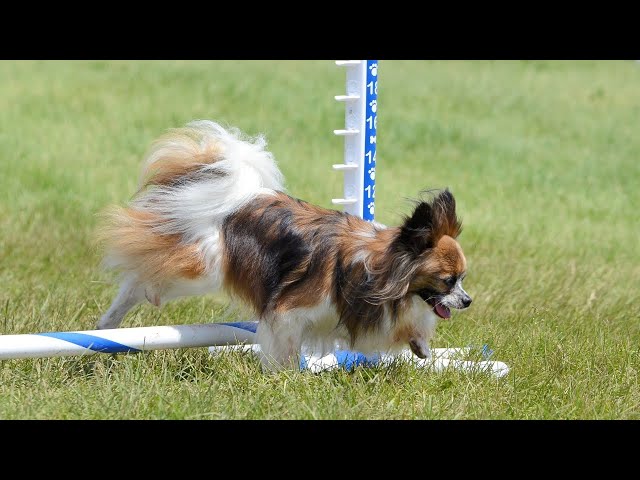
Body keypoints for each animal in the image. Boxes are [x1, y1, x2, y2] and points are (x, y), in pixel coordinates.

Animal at [97, 121, 472, 372]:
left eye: (464, 279)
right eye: (447, 280)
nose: (468, 301)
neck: (377, 266)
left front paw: (421, 345)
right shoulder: (288, 311)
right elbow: (285, 349)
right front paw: (284, 377)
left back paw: (106, 327)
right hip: (203, 265)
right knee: (142, 277)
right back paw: (114, 318)